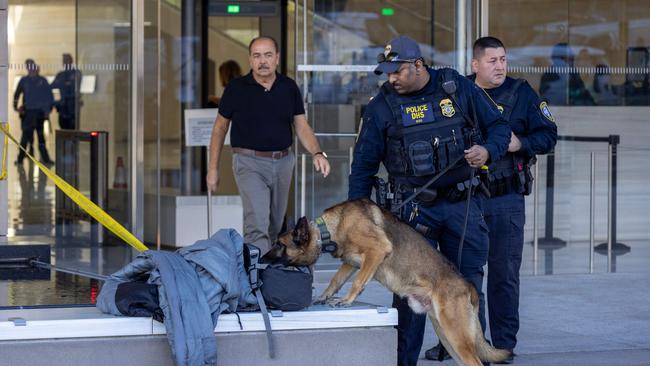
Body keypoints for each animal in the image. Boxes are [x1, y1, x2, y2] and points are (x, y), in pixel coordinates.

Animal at [266, 197, 508, 366]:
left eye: (279, 244)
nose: (261, 258)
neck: (329, 229)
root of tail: (469, 287)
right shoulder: (350, 263)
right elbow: (336, 280)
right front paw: (324, 297)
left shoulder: (377, 250)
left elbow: (357, 282)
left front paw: (346, 301)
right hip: (448, 338)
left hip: (455, 335)